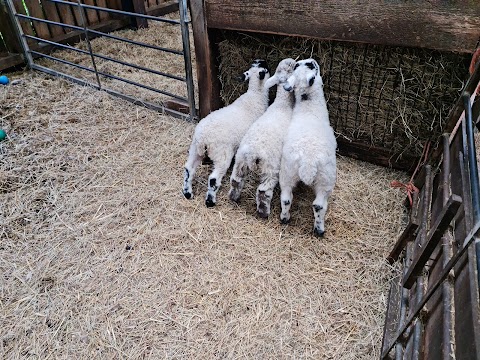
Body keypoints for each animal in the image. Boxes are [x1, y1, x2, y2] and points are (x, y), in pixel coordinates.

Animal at [182, 60, 270, 207]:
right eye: (265, 69)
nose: (265, 62)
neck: (255, 95)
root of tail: (203, 139)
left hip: (195, 149)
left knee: (189, 169)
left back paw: (187, 193)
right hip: (222, 155)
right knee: (213, 179)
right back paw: (210, 201)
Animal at [228, 57, 296, 218]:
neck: (282, 104)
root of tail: (253, 154)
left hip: (240, 162)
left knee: (235, 180)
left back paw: (234, 197)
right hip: (270, 170)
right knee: (263, 191)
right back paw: (264, 212)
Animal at [278, 59, 338, 238]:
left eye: (306, 65)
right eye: (312, 67)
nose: (311, 60)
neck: (309, 108)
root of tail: (308, 162)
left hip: (287, 171)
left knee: (286, 198)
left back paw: (285, 218)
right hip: (326, 178)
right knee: (319, 205)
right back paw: (319, 229)